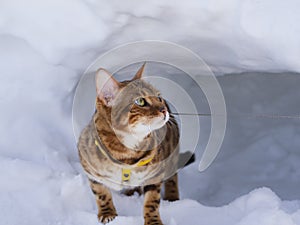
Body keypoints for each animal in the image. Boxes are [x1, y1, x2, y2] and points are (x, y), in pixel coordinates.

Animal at [78, 63, 179, 225]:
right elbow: (101, 193)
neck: (125, 154)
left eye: (159, 97)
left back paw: (172, 197)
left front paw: (153, 221)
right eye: (140, 101)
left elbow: (152, 201)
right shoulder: (90, 168)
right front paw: (107, 213)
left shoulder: (156, 174)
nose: (164, 110)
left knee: (172, 177)